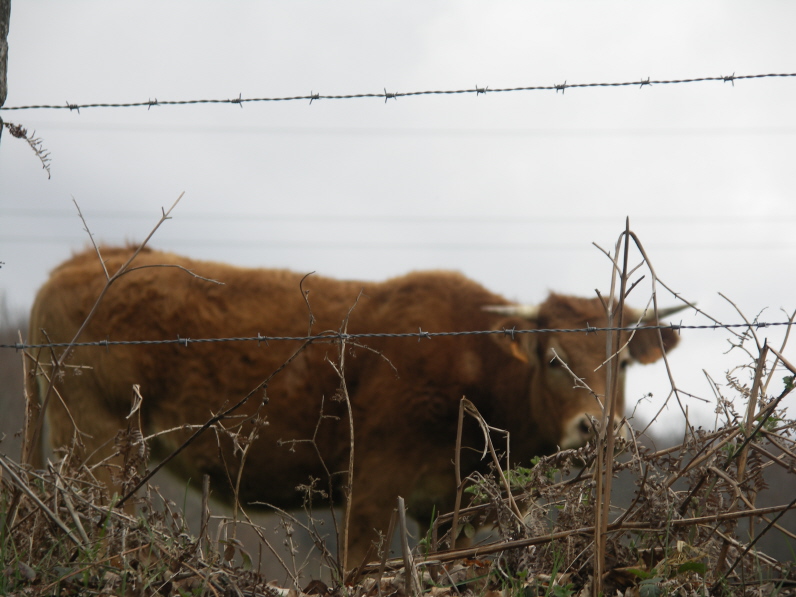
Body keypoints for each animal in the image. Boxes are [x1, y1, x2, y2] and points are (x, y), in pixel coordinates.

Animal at [28, 247, 681, 565]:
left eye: (624, 362)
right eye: (551, 359)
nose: (595, 427)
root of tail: (84, 260)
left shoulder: (450, 511)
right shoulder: (373, 485)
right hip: (94, 440)